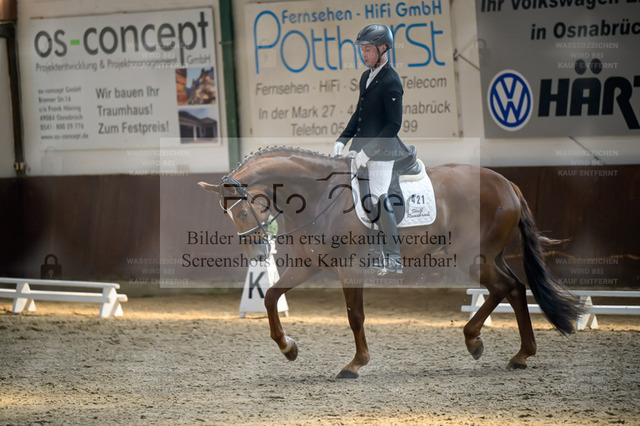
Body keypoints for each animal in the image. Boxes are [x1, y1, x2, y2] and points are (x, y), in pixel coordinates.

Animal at [198, 146, 582, 378]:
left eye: (244, 210)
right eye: (229, 217)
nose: (258, 256)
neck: (318, 197)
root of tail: (507, 183)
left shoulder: (351, 268)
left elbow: (354, 316)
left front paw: (355, 364)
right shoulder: (308, 265)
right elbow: (269, 297)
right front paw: (288, 348)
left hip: (474, 258)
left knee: (506, 288)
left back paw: (483, 343)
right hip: (486, 256)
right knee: (514, 289)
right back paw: (514, 352)